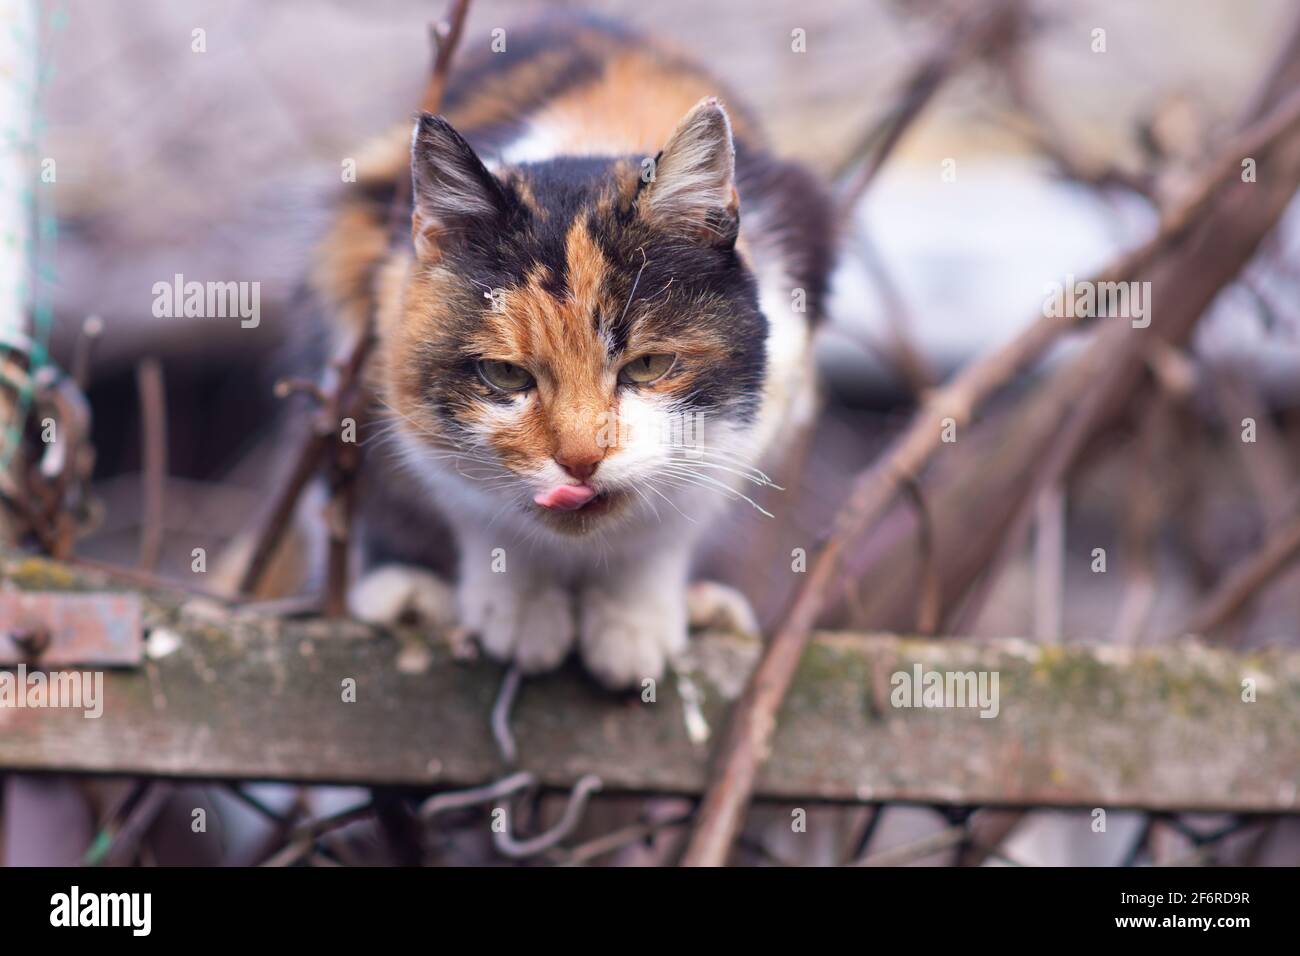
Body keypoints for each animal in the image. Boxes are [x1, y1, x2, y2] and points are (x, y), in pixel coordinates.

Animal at [314, 14, 837, 686]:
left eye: (648, 365)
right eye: (504, 375)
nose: (581, 461)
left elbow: (676, 515)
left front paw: (632, 625)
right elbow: (472, 504)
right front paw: (521, 611)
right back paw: (408, 595)